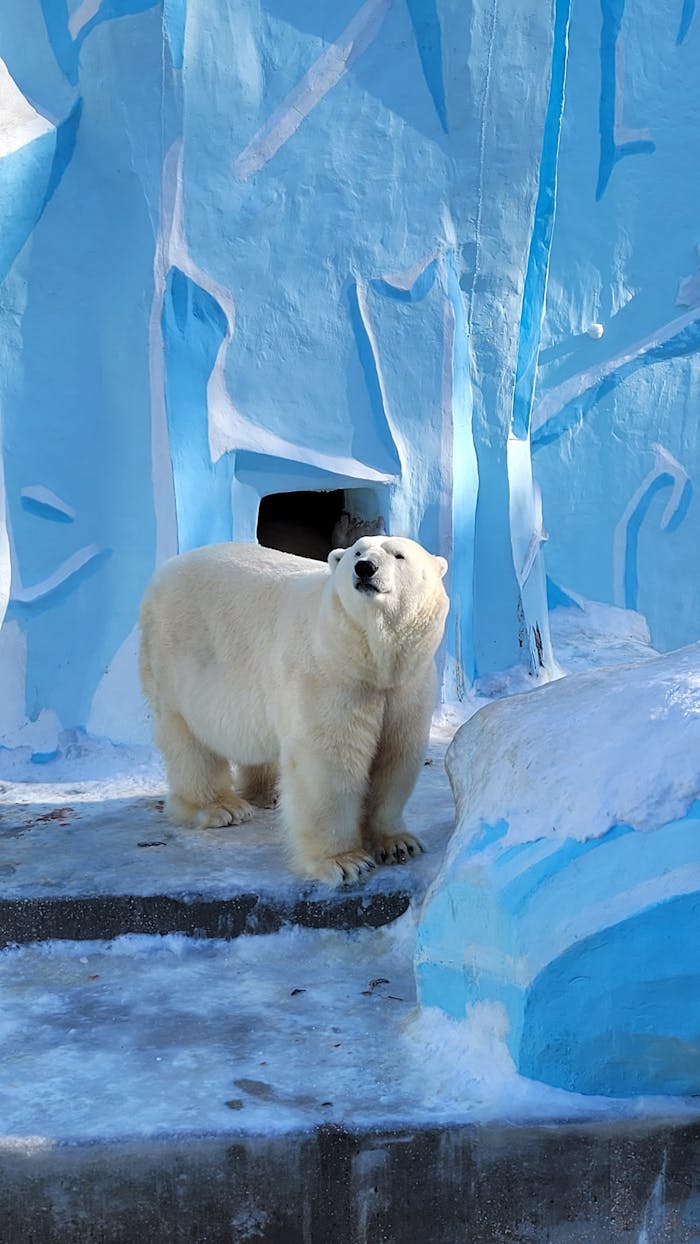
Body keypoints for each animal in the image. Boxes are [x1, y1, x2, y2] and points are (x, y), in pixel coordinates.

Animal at [138, 535, 449, 885]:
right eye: (357, 551)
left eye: (399, 555)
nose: (364, 568)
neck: (369, 662)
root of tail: (163, 571)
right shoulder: (328, 678)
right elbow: (330, 763)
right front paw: (345, 862)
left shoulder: (406, 686)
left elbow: (396, 757)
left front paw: (398, 844)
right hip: (176, 658)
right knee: (188, 739)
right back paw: (221, 808)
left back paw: (267, 793)